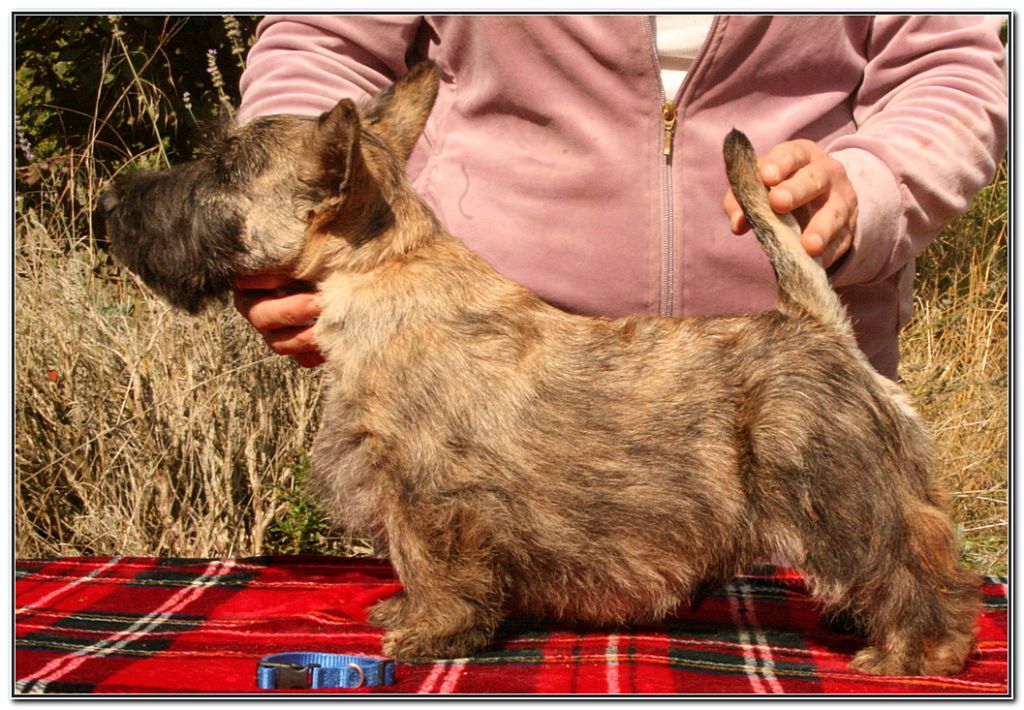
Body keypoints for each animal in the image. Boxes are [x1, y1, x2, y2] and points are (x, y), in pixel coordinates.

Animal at [99, 61, 980, 675]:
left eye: (222, 171)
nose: (111, 201)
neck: (385, 273)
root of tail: (818, 324)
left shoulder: (426, 492)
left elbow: (437, 566)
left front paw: (426, 632)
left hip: (836, 491)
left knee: (909, 569)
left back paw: (913, 652)